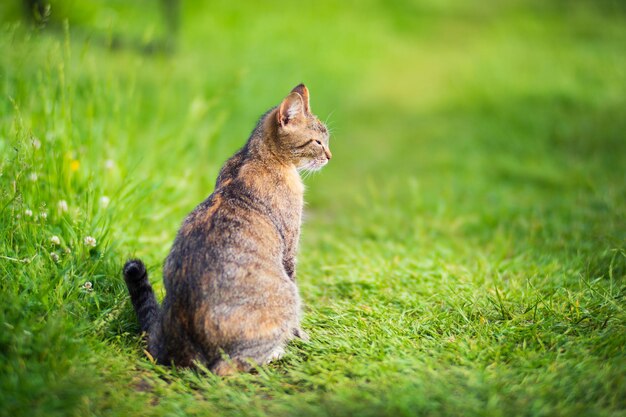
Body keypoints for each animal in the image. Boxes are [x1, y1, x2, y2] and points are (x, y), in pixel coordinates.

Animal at [119, 83, 330, 374]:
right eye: (318, 142)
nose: (330, 156)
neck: (253, 156)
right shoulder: (289, 248)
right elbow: (296, 316)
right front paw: (301, 336)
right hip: (285, 297)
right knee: (226, 368)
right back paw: (275, 353)